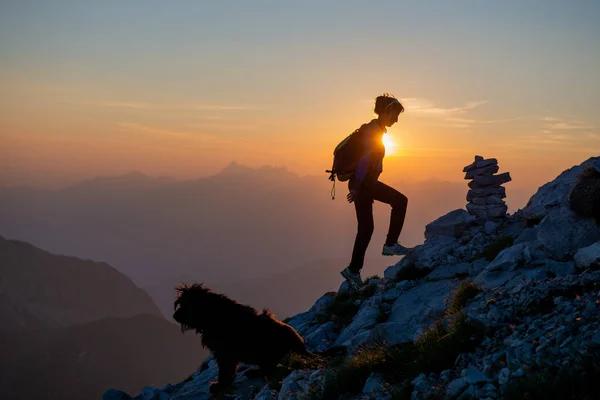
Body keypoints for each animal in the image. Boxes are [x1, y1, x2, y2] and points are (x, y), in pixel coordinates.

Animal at [171, 284, 308, 394]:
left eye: (185, 304)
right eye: (180, 303)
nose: (174, 316)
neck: (212, 315)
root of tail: (300, 344)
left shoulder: (225, 353)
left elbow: (225, 370)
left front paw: (220, 386)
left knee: (270, 369)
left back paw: (254, 372)